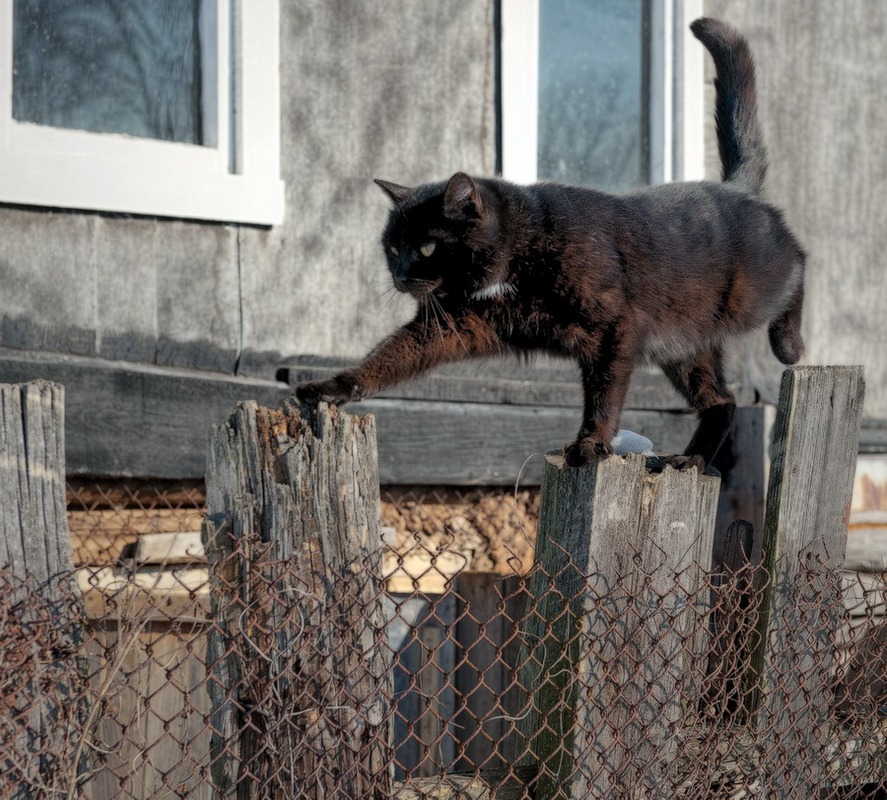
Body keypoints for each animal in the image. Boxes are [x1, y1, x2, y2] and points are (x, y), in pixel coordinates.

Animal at [298, 17, 804, 468]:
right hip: (684, 347)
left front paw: (590, 445)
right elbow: (388, 357)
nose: (401, 275)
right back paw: (691, 458)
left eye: (425, 248)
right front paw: (330, 389)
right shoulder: (452, 325)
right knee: (722, 400)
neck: (518, 253)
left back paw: (790, 345)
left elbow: (603, 394)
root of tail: (737, 189)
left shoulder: (615, 329)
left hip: (751, 295)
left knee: (799, 263)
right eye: (392, 248)